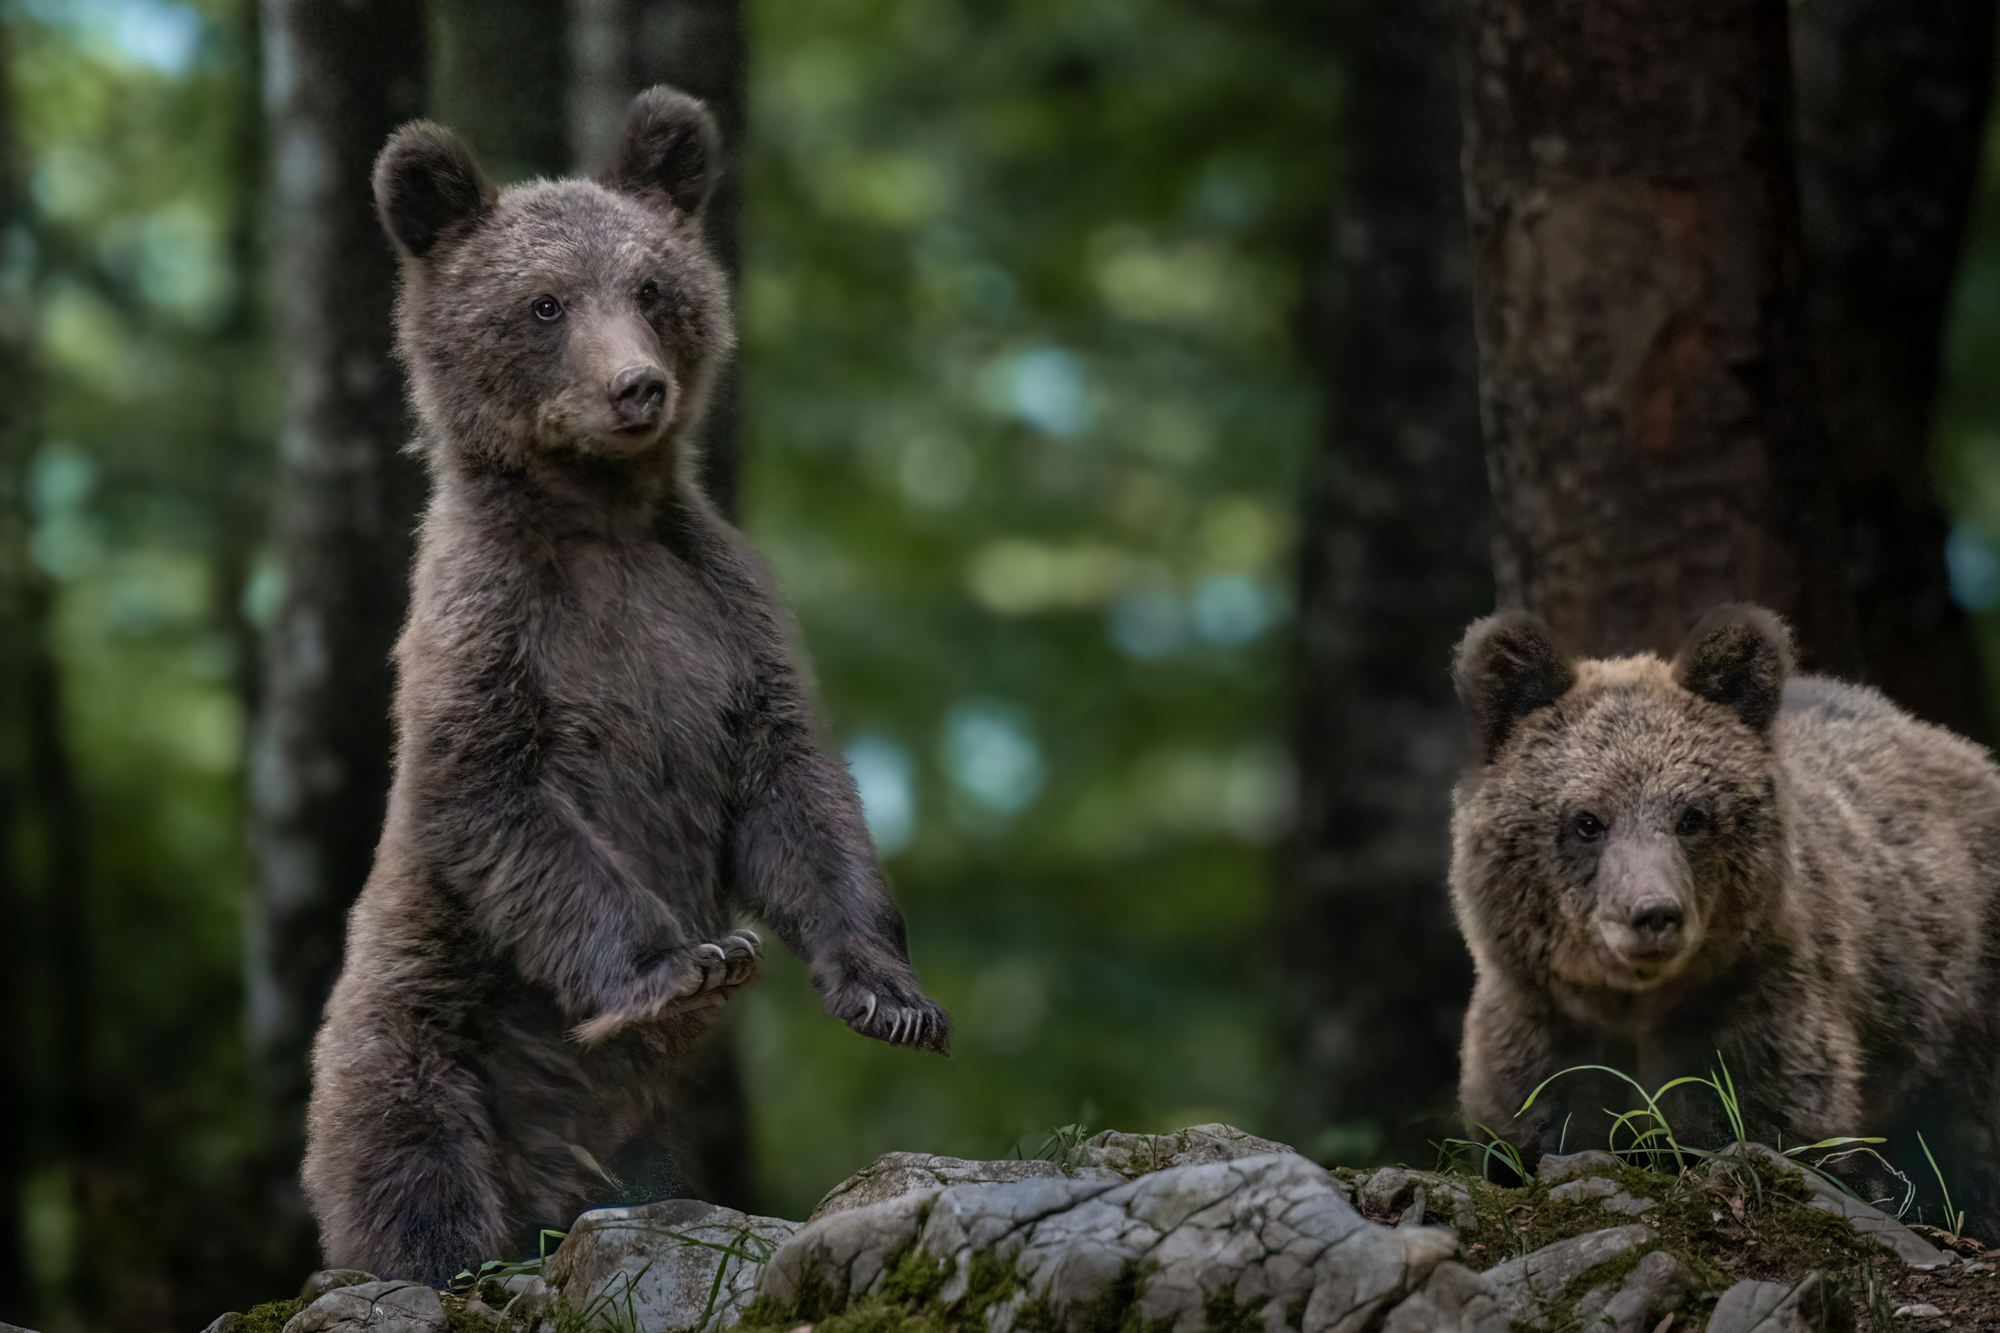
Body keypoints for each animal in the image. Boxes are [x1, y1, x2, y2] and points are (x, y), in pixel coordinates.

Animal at [301, 86, 950, 1288]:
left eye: (651, 286)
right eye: (544, 303)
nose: (635, 385)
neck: (594, 521)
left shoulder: (718, 613)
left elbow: (797, 791)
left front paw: (890, 994)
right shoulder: (489, 628)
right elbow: (498, 796)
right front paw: (688, 962)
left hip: (649, 1134)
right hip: (422, 1021)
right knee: (412, 1158)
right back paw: (436, 1254)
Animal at [1449, 603, 2000, 1222]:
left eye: (1692, 814)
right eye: (1587, 819)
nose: (1654, 913)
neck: (1635, 1008)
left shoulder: (1757, 1019)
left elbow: (1775, 1126)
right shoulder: (1536, 1033)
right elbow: (1533, 1131)